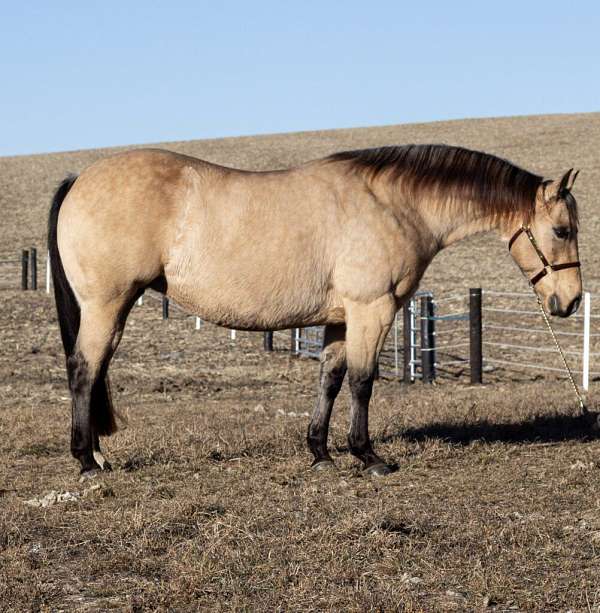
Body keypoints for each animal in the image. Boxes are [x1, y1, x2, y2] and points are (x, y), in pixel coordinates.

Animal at [49, 145, 584, 478]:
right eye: (562, 230)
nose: (573, 301)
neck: (392, 204)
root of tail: (81, 179)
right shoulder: (373, 310)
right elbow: (363, 382)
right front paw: (367, 455)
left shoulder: (339, 319)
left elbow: (329, 379)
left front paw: (321, 452)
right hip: (107, 304)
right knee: (84, 369)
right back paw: (86, 461)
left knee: (95, 371)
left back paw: (97, 453)